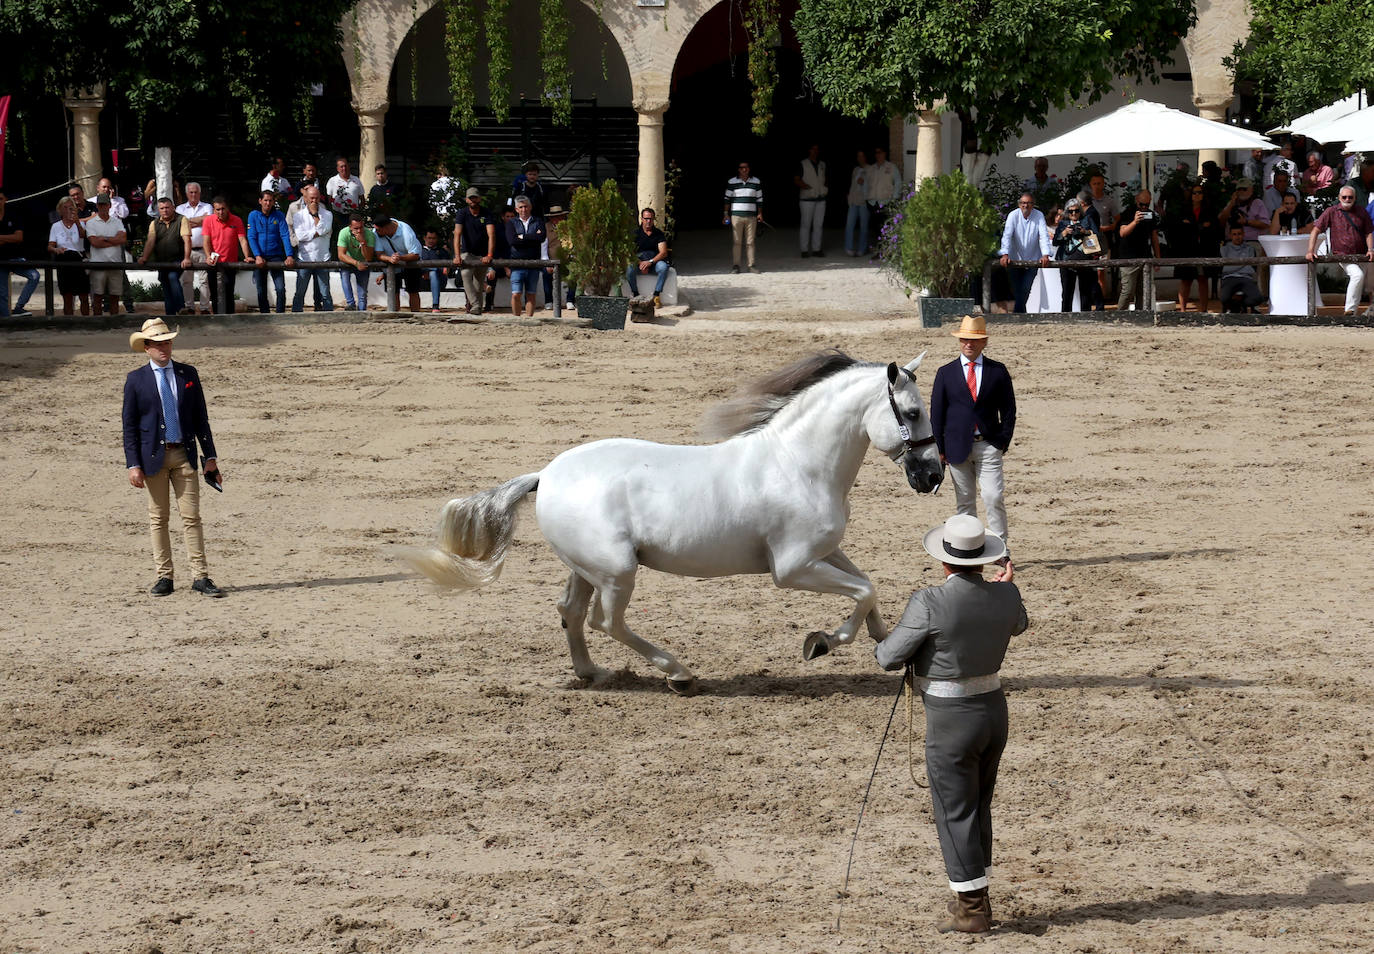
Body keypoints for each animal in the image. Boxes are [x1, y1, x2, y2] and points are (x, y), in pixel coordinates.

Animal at [401, 351, 945, 695]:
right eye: (913, 412)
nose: (933, 475)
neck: (798, 464)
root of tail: (545, 475)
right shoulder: (792, 569)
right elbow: (862, 591)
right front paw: (822, 643)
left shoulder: (823, 552)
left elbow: (868, 587)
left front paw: (878, 638)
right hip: (618, 572)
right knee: (606, 621)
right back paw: (678, 674)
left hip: (586, 568)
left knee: (571, 613)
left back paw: (592, 673)